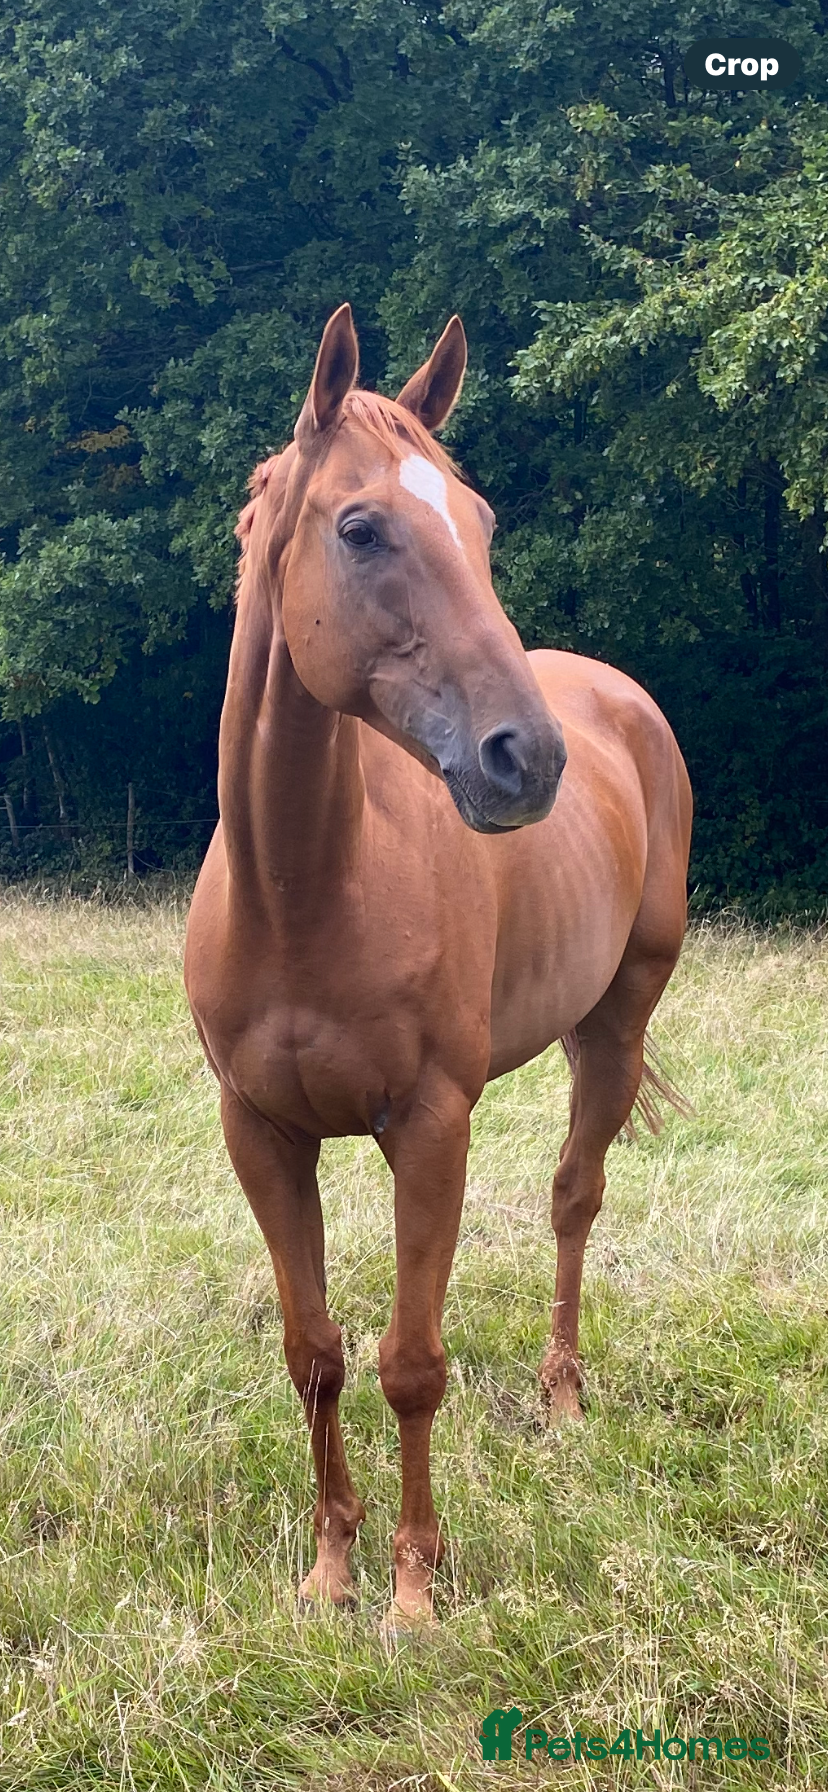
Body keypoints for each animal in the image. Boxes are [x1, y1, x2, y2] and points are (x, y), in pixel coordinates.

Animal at [184, 304, 692, 1627]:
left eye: (481, 524)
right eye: (361, 528)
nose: (530, 759)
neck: (304, 893)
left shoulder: (430, 1124)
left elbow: (412, 1363)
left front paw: (413, 1586)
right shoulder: (259, 1132)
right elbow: (314, 1354)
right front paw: (330, 1567)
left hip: (619, 1023)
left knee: (575, 1195)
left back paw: (563, 1401)